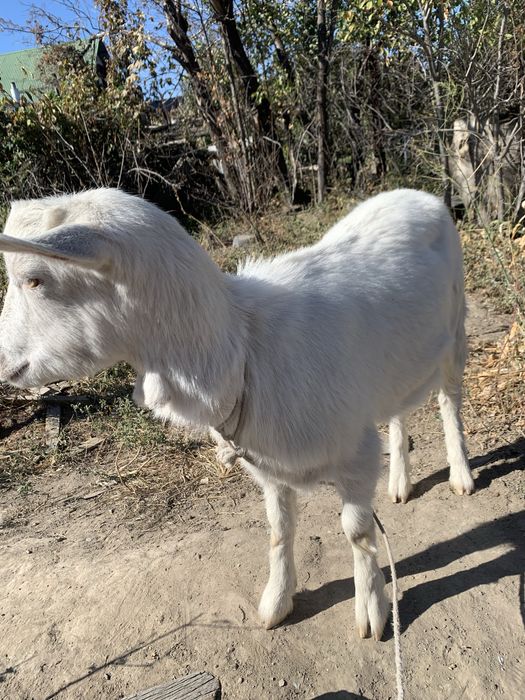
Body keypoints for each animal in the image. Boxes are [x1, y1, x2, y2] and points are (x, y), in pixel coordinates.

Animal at [0, 188, 474, 640]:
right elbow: (279, 530)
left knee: (449, 401)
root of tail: (418, 195)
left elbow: (358, 533)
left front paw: (373, 612)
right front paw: (276, 603)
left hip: (455, 329)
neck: (243, 348)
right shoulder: (269, 468)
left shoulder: (355, 454)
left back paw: (461, 475)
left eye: (35, 279)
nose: (3, 364)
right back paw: (399, 481)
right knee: (398, 408)